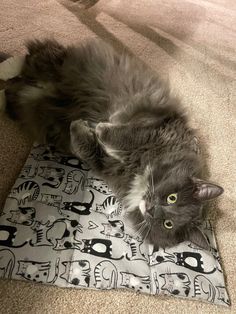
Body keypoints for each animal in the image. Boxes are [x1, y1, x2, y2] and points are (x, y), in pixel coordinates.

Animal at [5, 39, 223, 249]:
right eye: (173, 197)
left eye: (167, 224)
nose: (151, 209)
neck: (139, 173)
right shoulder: (153, 125)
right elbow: (123, 132)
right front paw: (102, 125)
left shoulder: (102, 163)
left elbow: (85, 146)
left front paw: (83, 126)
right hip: (55, 62)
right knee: (31, 56)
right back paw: (10, 64)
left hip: (32, 104)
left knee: (16, 86)